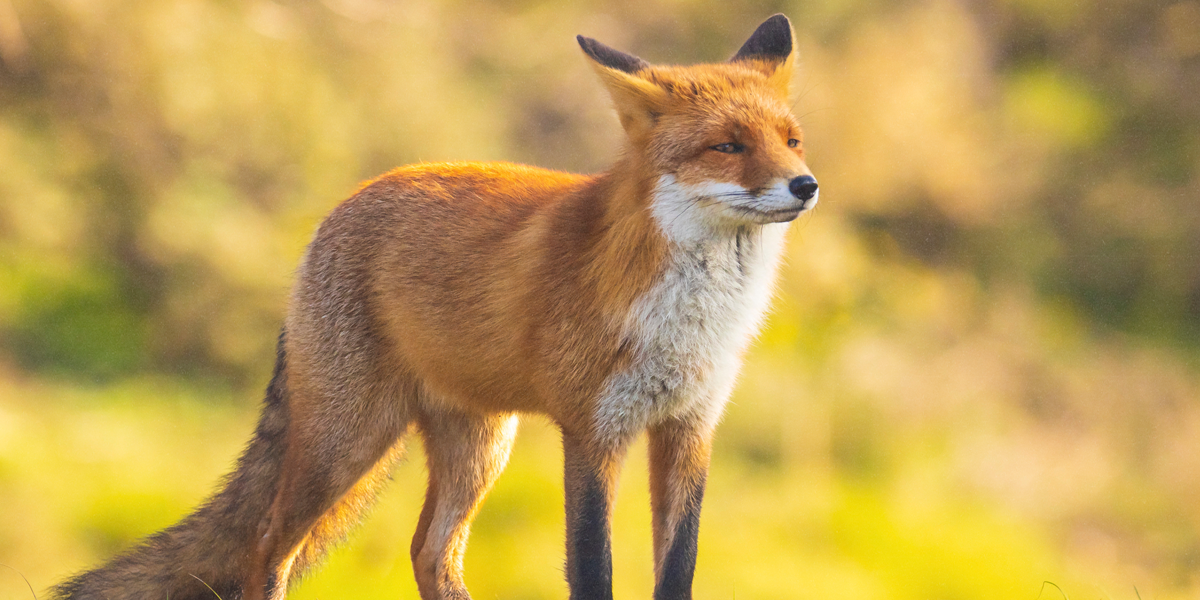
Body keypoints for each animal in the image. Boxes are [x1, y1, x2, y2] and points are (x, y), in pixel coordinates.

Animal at [52, 13, 818, 600]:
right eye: (728, 146)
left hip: (478, 448)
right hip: (347, 439)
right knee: (270, 545)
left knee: (428, 551)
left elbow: (677, 574)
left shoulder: (690, 429)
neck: (692, 322)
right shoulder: (591, 431)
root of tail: (344, 204)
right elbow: (592, 570)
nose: (806, 185)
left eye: (791, 140)